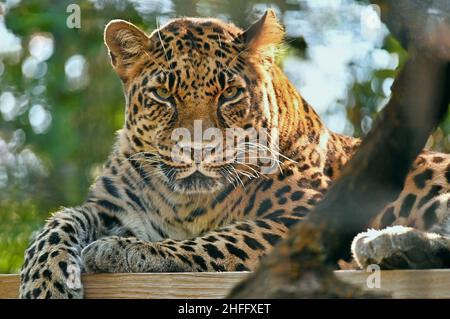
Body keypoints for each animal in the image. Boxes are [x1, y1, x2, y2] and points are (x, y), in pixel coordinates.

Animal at [19, 10, 450, 300]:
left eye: (229, 94)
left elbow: (222, 238)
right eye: (163, 94)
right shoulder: (109, 208)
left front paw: (124, 251)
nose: (197, 147)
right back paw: (388, 247)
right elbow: (57, 224)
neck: (182, 203)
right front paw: (45, 284)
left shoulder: (309, 218)